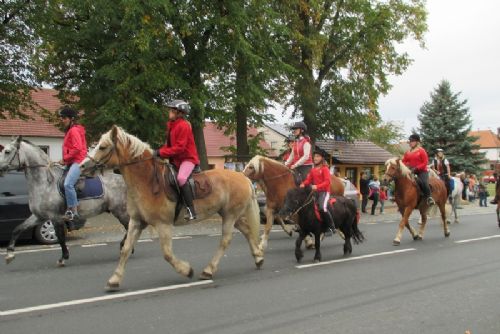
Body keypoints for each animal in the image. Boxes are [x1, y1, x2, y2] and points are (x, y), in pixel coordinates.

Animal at [80, 125, 264, 290]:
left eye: (102, 147)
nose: (82, 166)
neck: (146, 181)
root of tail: (243, 177)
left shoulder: (163, 225)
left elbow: (167, 254)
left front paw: (187, 270)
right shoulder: (136, 222)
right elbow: (125, 249)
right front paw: (114, 280)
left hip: (230, 216)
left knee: (225, 240)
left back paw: (208, 270)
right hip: (230, 214)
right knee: (247, 231)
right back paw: (258, 258)